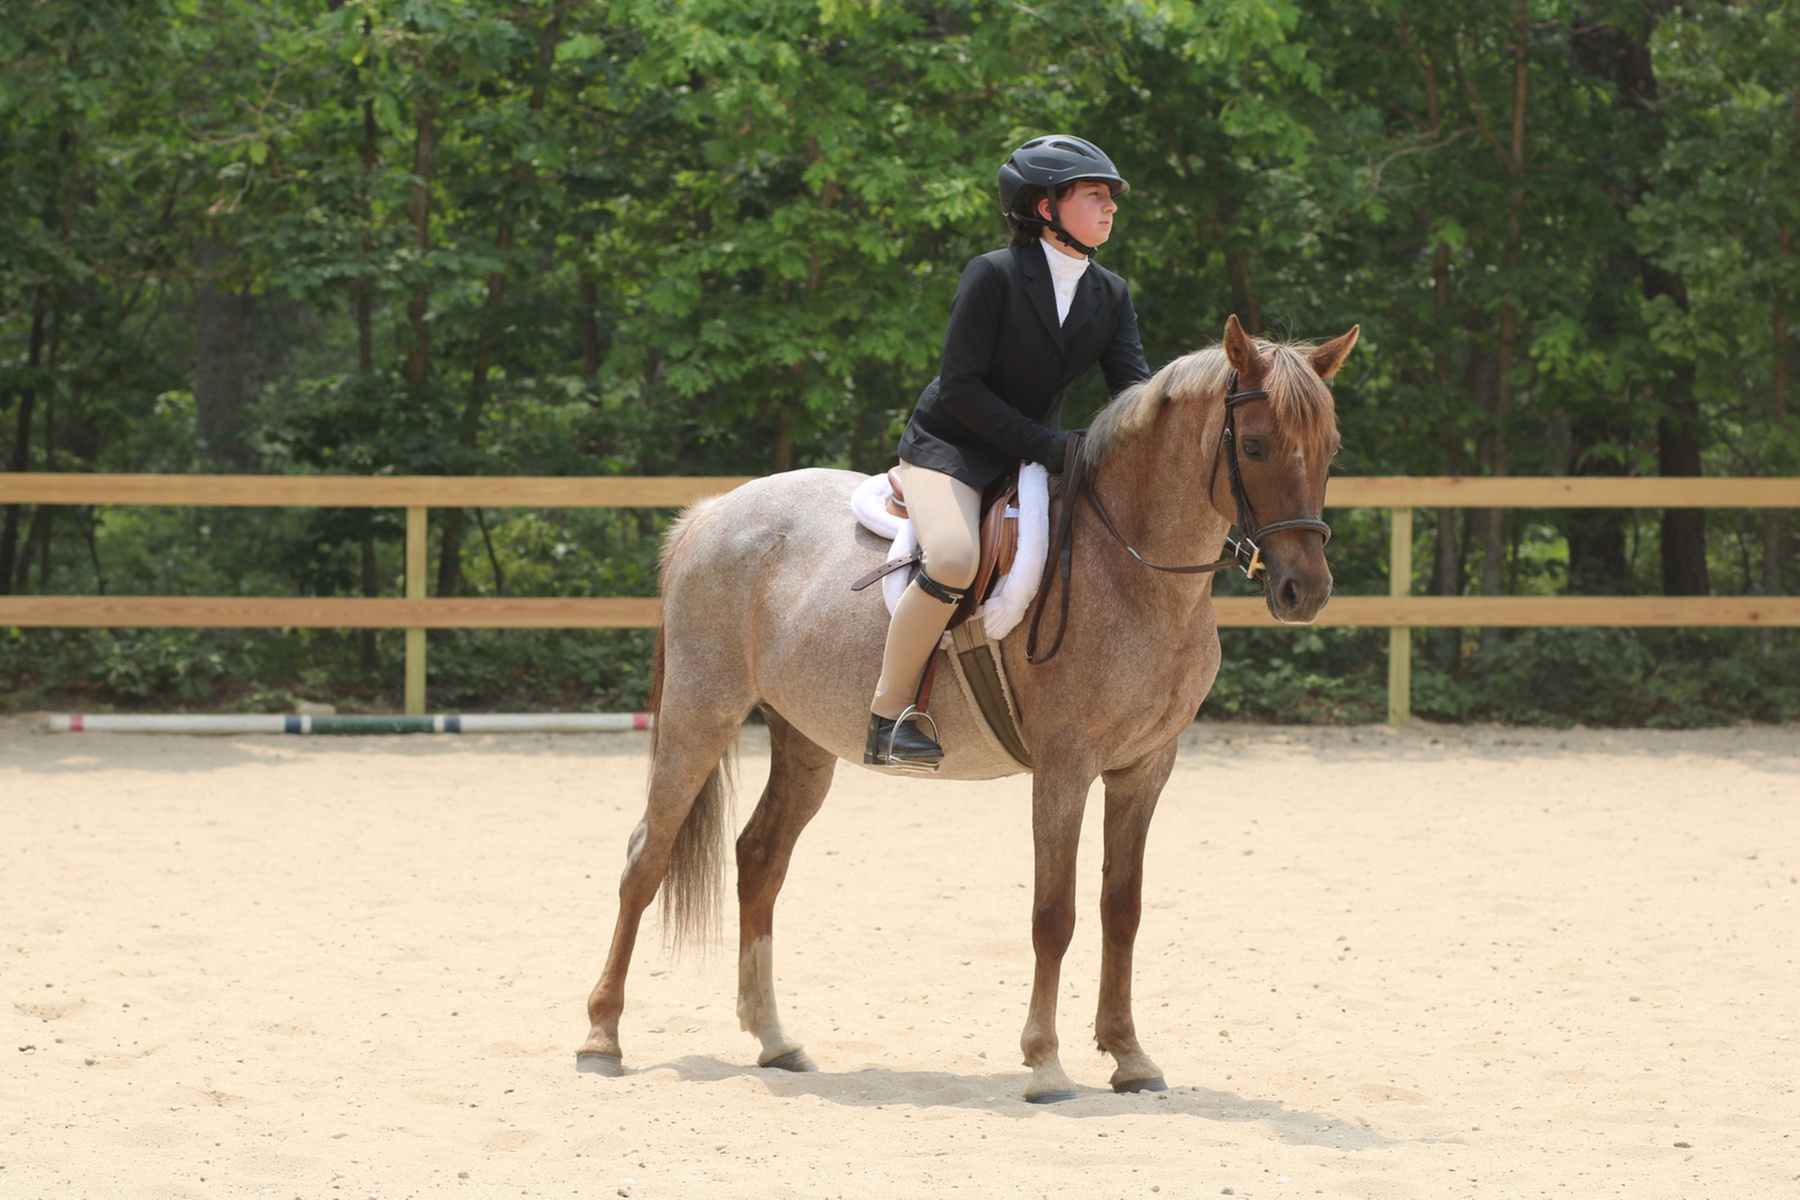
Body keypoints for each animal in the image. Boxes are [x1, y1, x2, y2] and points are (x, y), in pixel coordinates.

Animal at [576, 314, 1358, 1102]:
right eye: (1253, 446)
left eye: (1330, 449)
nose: (1305, 591)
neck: (1131, 569)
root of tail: (710, 514)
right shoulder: (1065, 766)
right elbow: (1054, 912)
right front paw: (1045, 1062)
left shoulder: (1145, 768)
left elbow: (1123, 909)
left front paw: (1129, 1055)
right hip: (699, 716)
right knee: (646, 857)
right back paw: (601, 1038)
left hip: (804, 741)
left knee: (760, 860)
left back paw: (774, 1040)